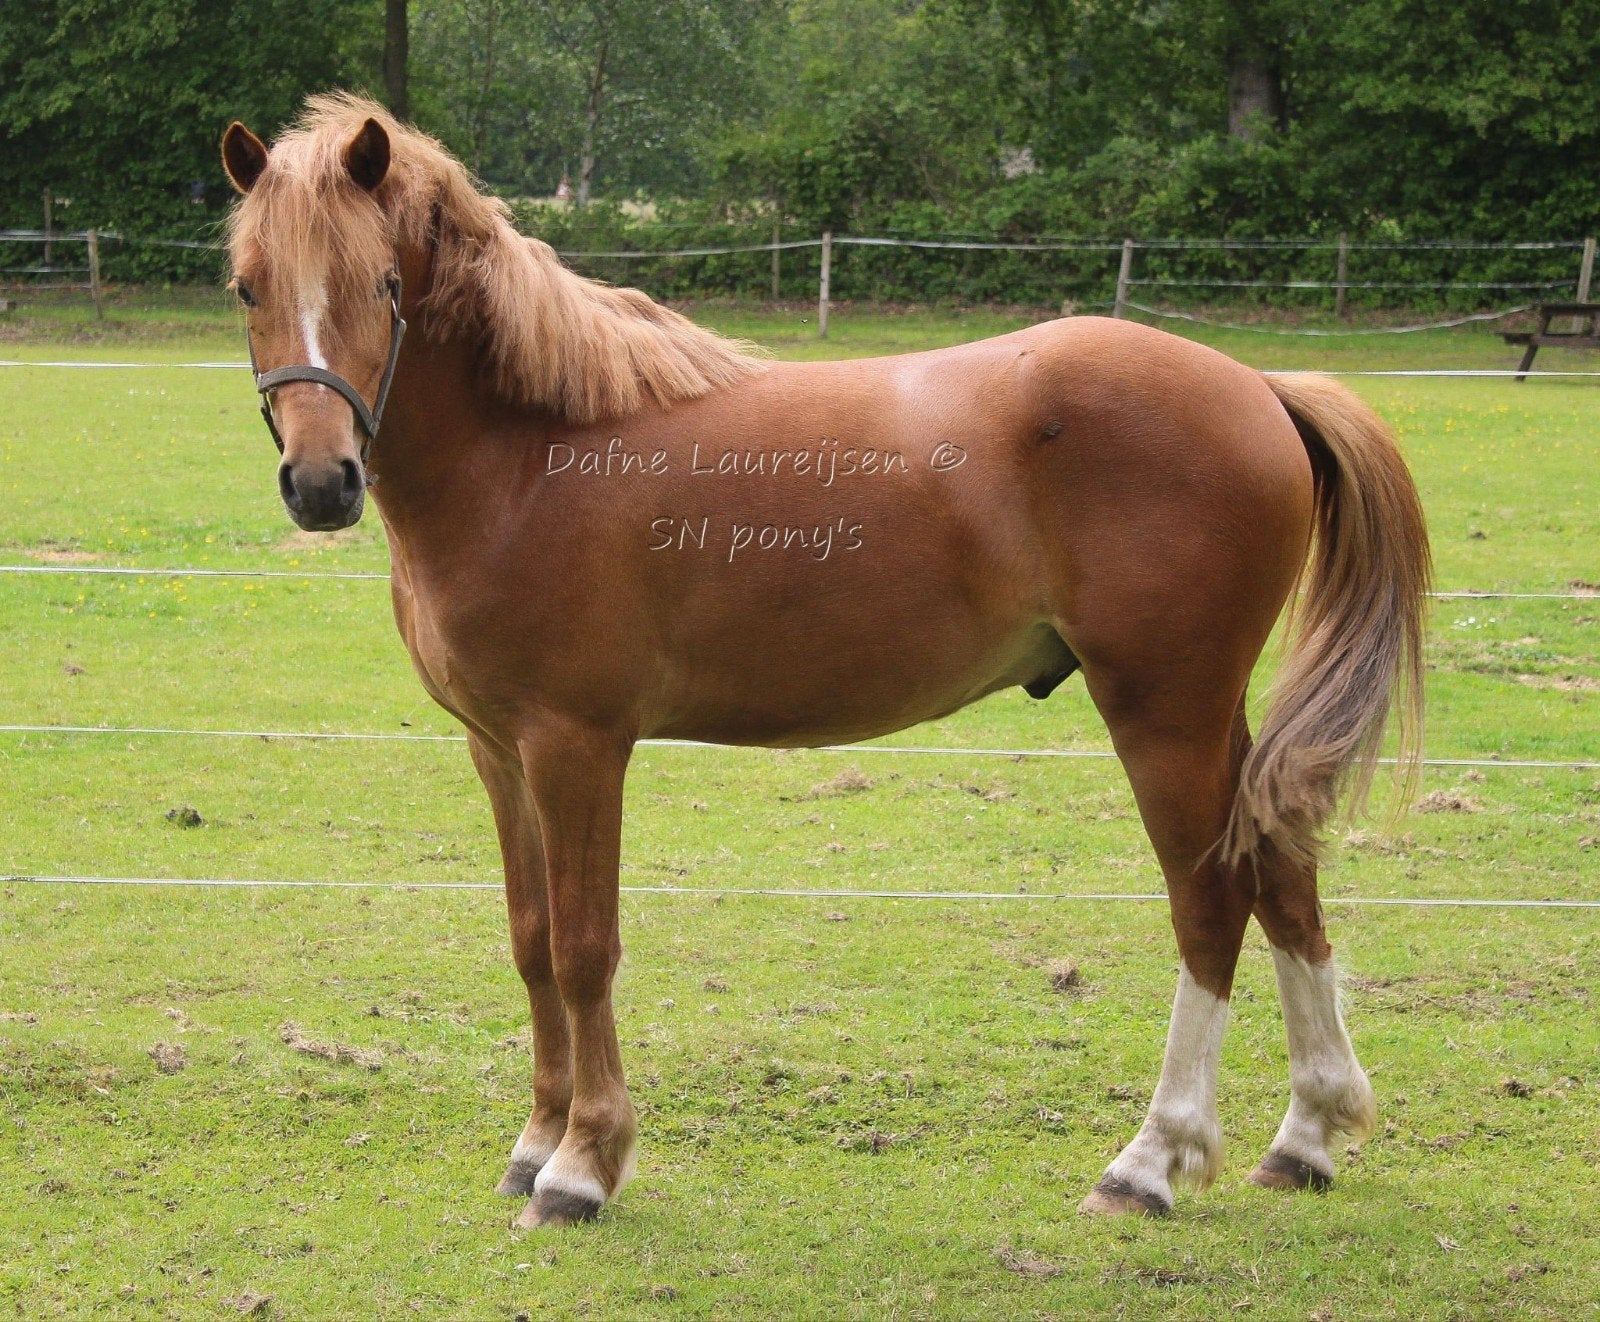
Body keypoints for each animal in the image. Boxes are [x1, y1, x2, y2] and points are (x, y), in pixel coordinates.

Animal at [220, 94, 1429, 1228]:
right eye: (245, 287)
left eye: (383, 282)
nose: (321, 482)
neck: (533, 450)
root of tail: (1258, 385)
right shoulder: (498, 750)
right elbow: (529, 942)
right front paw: (534, 1143)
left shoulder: (576, 747)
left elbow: (583, 946)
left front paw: (581, 1165)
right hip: (1214, 711)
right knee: (1282, 871)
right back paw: (1306, 1136)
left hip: (1163, 711)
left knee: (1211, 901)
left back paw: (1152, 1160)